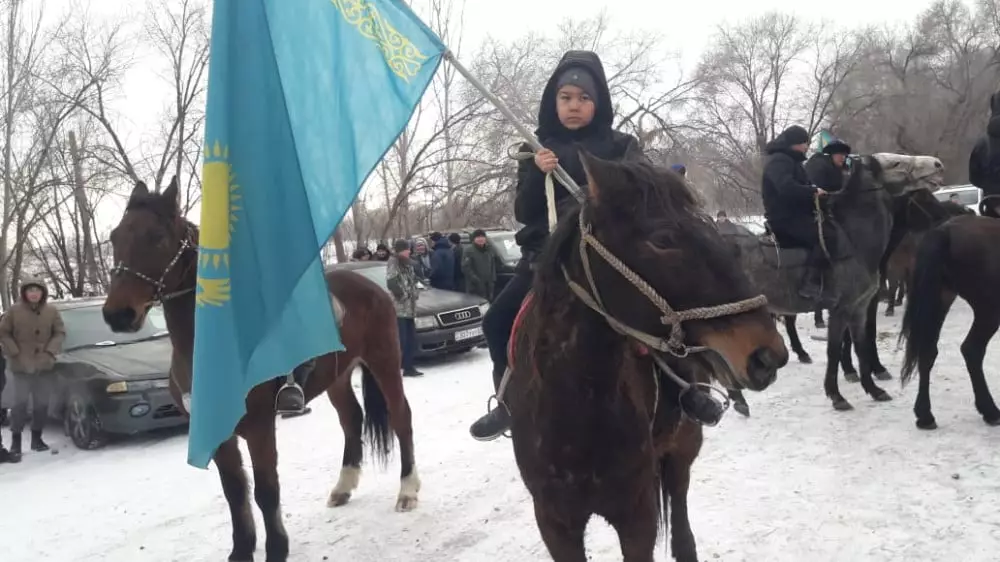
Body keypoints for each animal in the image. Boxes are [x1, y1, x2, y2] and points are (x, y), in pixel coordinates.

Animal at [98, 178, 418, 560]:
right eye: (115, 237)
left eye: (157, 237)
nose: (118, 315)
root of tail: (373, 287)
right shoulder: (220, 433)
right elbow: (235, 491)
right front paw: (241, 550)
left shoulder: (260, 425)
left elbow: (265, 490)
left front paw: (277, 549)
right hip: (337, 377)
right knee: (351, 419)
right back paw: (343, 486)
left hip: (384, 361)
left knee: (401, 416)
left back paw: (407, 491)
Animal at [508, 153, 788, 560]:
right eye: (663, 240)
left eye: (712, 230)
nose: (767, 354)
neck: (576, 411)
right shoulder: (555, 522)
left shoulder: (636, 514)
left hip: (681, 452)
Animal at [724, 153, 940, 412]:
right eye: (896, 163)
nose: (937, 164)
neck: (854, 240)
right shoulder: (840, 309)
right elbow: (834, 351)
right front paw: (836, 395)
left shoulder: (859, 308)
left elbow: (860, 346)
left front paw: (873, 388)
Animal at [900, 214, 1000, 428]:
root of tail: (944, 231)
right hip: (988, 311)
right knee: (972, 350)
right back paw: (990, 410)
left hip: (940, 298)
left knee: (927, 351)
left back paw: (925, 415)